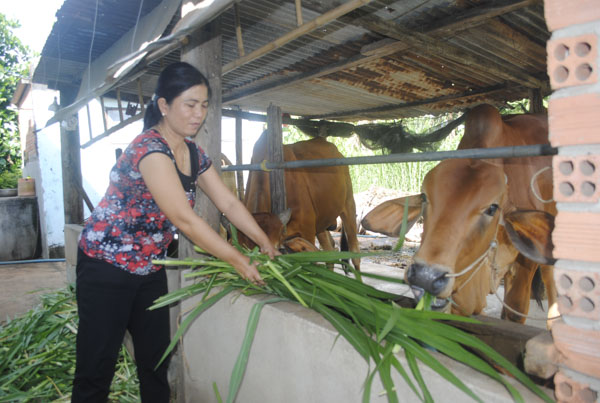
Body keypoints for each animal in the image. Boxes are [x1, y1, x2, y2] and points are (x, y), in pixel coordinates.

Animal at [243, 134, 358, 270]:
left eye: (276, 248)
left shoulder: (307, 230)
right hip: (322, 224)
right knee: (330, 253)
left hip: (349, 205)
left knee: (355, 254)